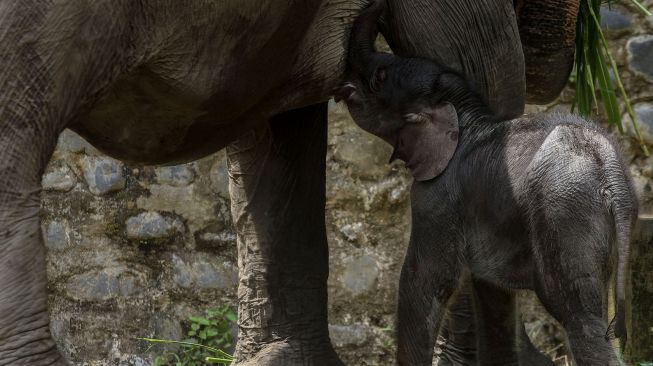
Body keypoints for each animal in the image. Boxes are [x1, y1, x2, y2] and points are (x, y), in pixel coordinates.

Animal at [342, 1, 636, 364]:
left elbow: (425, 282)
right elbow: (491, 293)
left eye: (379, 79)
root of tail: (609, 171)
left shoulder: (436, 201)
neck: (463, 110)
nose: (376, 6)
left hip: (566, 216)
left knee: (580, 318)